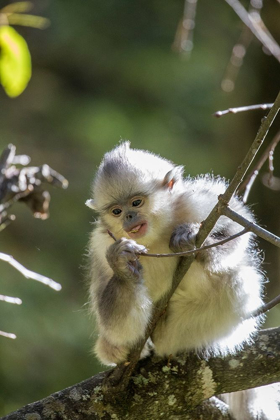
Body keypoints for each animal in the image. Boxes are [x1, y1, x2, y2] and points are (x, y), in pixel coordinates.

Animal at [87, 142, 264, 368]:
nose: (128, 216)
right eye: (116, 211)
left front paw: (195, 241)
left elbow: (237, 226)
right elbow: (115, 326)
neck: (154, 237)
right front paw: (122, 267)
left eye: (136, 203)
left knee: (238, 280)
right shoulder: (102, 244)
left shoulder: (197, 203)